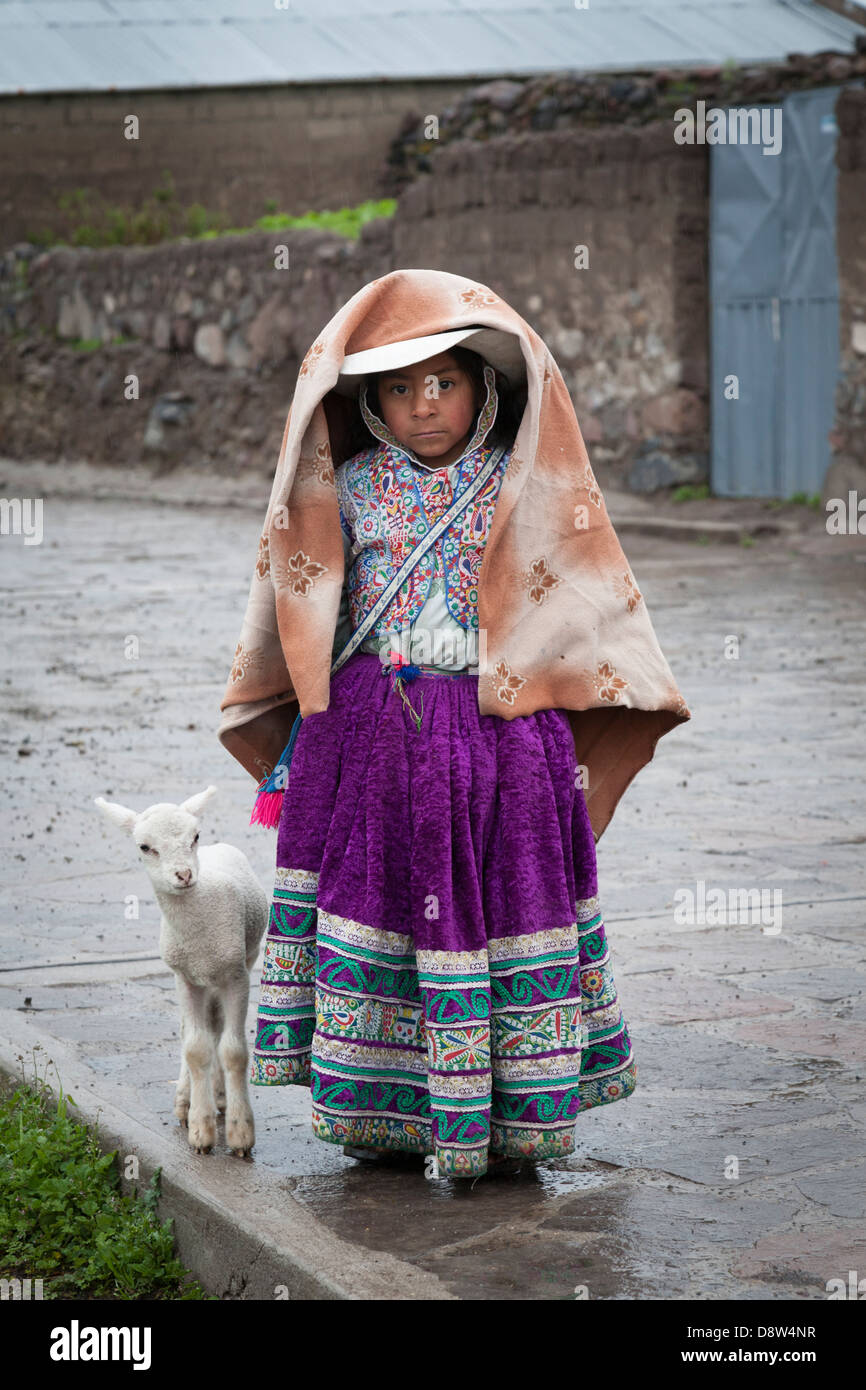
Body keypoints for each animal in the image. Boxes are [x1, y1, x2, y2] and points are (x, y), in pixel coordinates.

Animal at [93, 789, 269, 1156]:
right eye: (145, 847)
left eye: (195, 837)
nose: (184, 875)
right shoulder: (186, 977)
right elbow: (195, 1047)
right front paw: (201, 1130)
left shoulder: (236, 976)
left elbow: (233, 1051)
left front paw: (240, 1134)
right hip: (191, 977)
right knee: (193, 1030)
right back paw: (187, 1099)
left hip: (242, 959)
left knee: (217, 1026)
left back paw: (219, 1095)